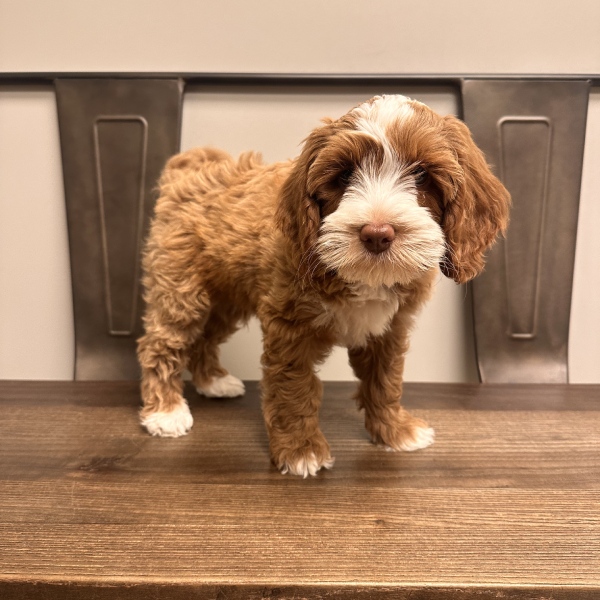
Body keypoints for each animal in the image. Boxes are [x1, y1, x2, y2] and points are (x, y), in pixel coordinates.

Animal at [137, 95, 510, 478]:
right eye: (344, 174)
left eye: (421, 174)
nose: (377, 234)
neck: (364, 277)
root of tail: (190, 168)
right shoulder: (290, 328)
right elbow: (293, 387)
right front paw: (300, 451)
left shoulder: (389, 329)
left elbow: (386, 381)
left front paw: (394, 432)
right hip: (181, 287)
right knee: (163, 342)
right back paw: (166, 411)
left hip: (227, 295)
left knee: (207, 335)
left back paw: (212, 381)